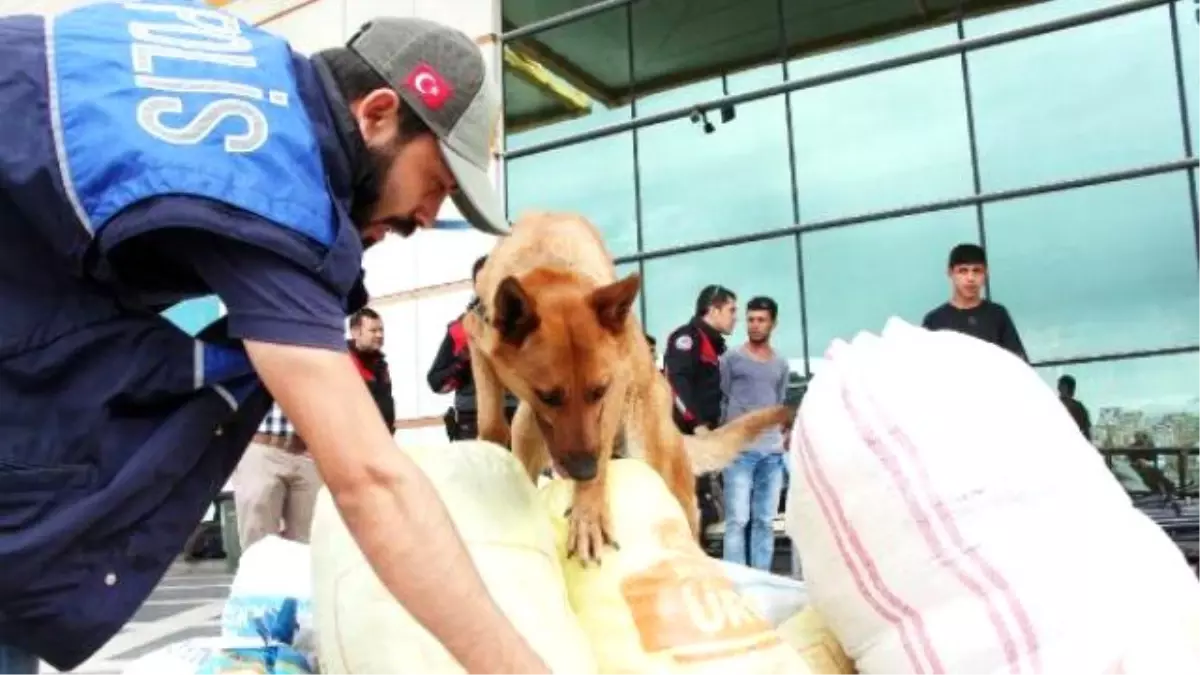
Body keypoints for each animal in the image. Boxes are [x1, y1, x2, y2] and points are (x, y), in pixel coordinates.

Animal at [463, 212, 792, 559]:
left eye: (598, 391)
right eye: (548, 396)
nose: (584, 471)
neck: (550, 260)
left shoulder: (614, 386)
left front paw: (588, 513)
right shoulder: (477, 341)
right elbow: (490, 421)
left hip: (657, 461)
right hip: (527, 426)